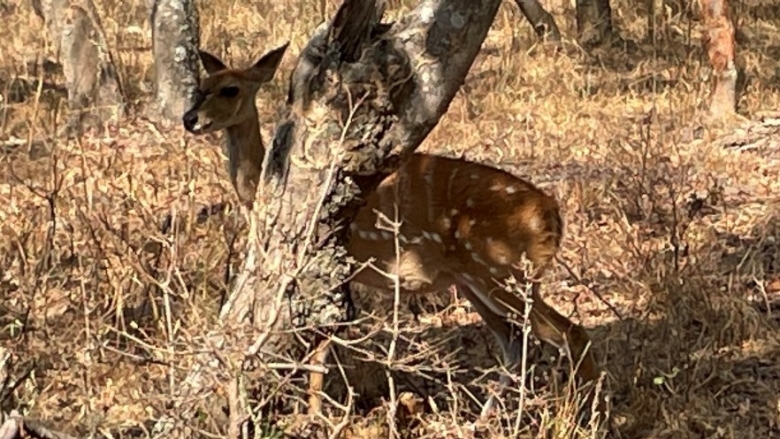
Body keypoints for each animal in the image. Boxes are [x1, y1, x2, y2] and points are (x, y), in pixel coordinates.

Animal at [181, 45, 604, 420]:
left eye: (230, 89)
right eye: (201, 85)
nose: (190, 119)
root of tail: (551, 215)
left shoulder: (332, 262)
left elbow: (322, 346)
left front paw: (316, 417)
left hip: (504, 270)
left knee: (571, 334)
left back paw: (586, 417)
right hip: (475, 280)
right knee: (515, 344)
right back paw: (487, 420)